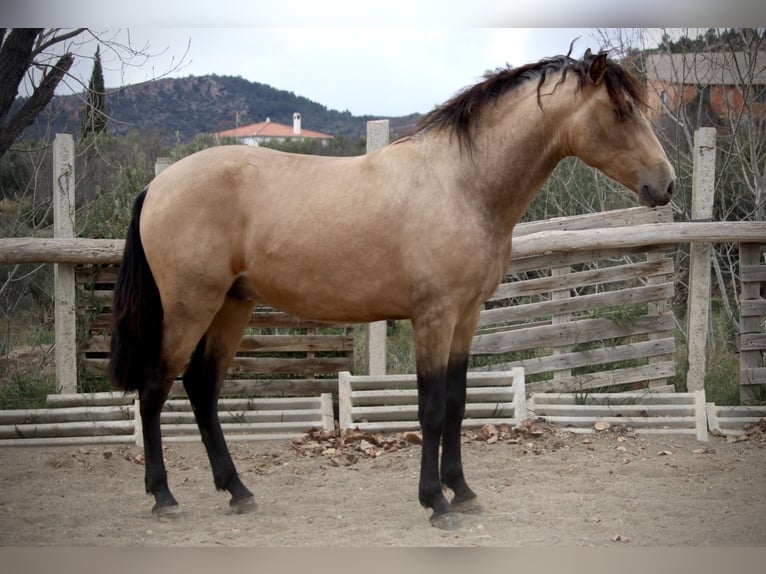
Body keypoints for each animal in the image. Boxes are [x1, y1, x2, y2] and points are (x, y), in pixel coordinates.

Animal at [111, 49, 676, 532]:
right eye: (620, 111)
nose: (666, 184)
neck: (462, 184)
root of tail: (158, 185)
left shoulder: (465, 317)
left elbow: (457, 404)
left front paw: (462, 492)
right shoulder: (433, 317)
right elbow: (430, 409)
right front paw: (435, 502)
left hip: (232, 305)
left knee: (202, 388)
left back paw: (238, 491)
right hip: (191, 307)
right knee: (156, 389)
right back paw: (165, 498)